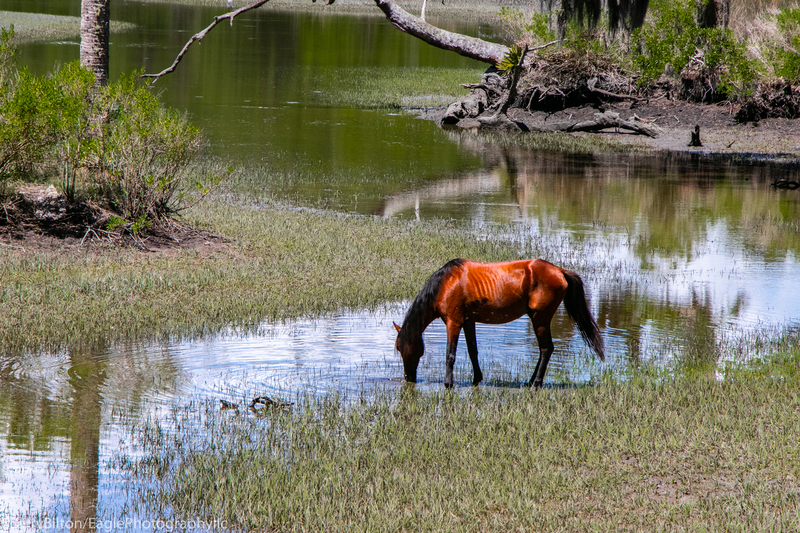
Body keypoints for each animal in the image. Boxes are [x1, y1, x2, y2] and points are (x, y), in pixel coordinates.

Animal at [393, 258, 605, 389]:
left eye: (400, 348)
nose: (408, 378)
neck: (445, 284)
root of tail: (560, 271)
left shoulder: (453, 322)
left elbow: (450, 355)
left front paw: (448, 384)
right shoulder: (468, 322)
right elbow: (472, 351)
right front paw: (476, 379)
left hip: (540, 318)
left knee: (546, 349)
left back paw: (536, 382)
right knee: (545, 349)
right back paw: (530, 381)